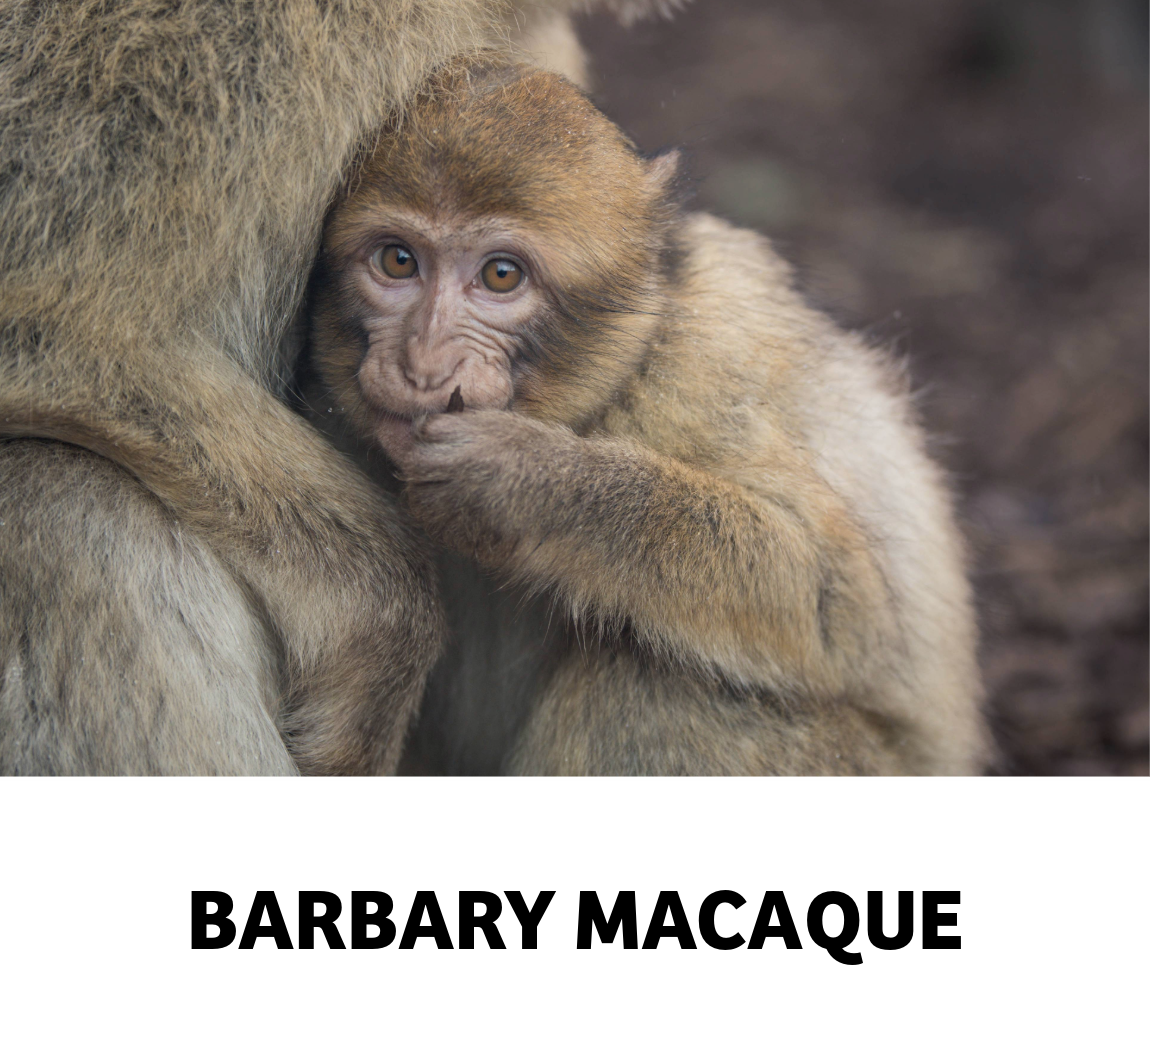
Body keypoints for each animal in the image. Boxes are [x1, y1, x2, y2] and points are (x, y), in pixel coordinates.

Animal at [0, 0, 675, 775]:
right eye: (398, 262)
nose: (425, 366)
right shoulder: (240, 43)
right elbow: (56, 329)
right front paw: (384, 633)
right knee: (65, 503)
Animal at [303, 57, 988, 775]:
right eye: (398, 261)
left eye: (500, 276)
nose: (424, 363)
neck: (614, 377)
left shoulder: (692, 383)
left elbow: (843, 606)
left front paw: (524, 484)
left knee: (657, 684)